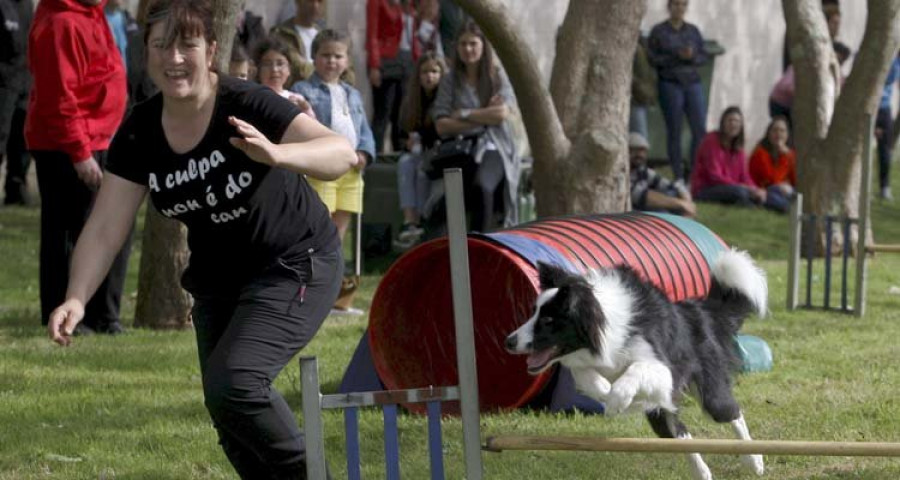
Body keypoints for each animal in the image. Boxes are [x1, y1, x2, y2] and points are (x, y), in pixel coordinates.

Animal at [506, 249, 768, 478]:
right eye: (533, 313)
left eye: (548, 320)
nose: (508, 341)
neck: (606, 323)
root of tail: (700, 310)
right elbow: (582, 373)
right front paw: (605, 391)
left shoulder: (664, 370)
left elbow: (635, 368)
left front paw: (617, 400)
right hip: (660, 415)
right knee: (680, 433)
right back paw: (702, 472)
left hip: (711, 393)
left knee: (732, 412)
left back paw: (754, 461)